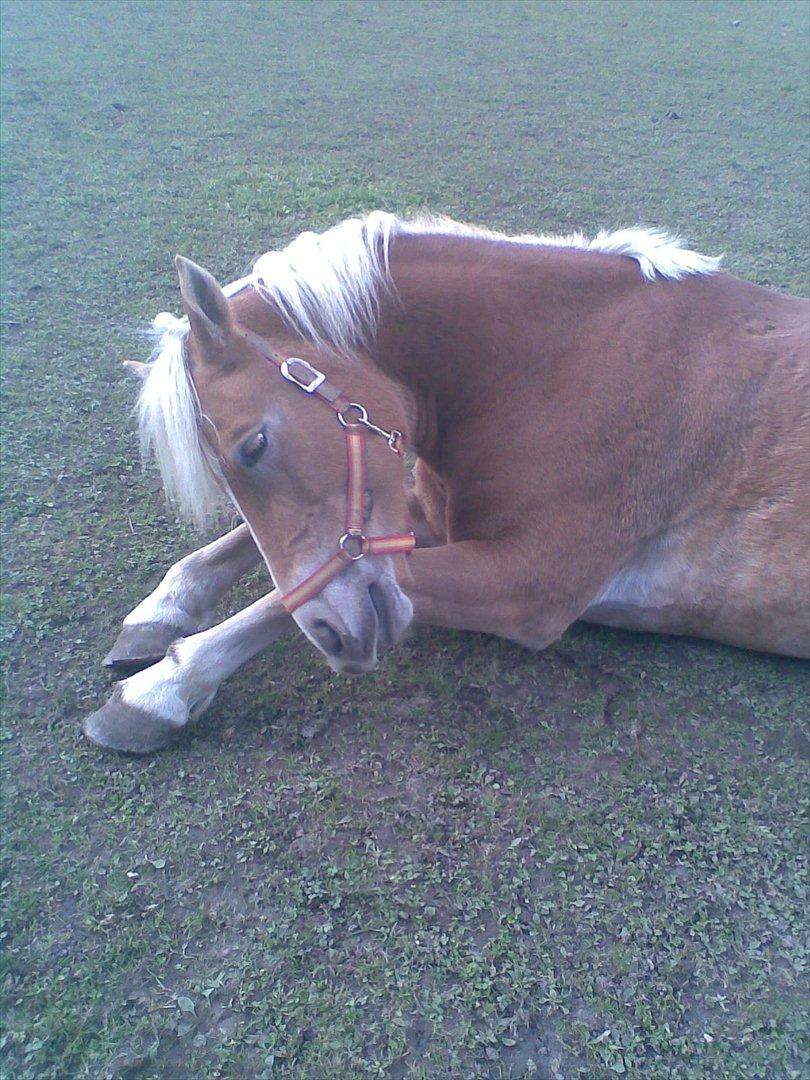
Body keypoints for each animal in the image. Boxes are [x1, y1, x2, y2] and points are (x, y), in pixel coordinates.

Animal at [84, 210, 810, 751]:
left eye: (253, 446)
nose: (333, 634)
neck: (550, 367)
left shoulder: (528, 585)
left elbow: (276, 601)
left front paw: (158, 691)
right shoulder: (419, 514)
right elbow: (236, 559)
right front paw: (163, 610)